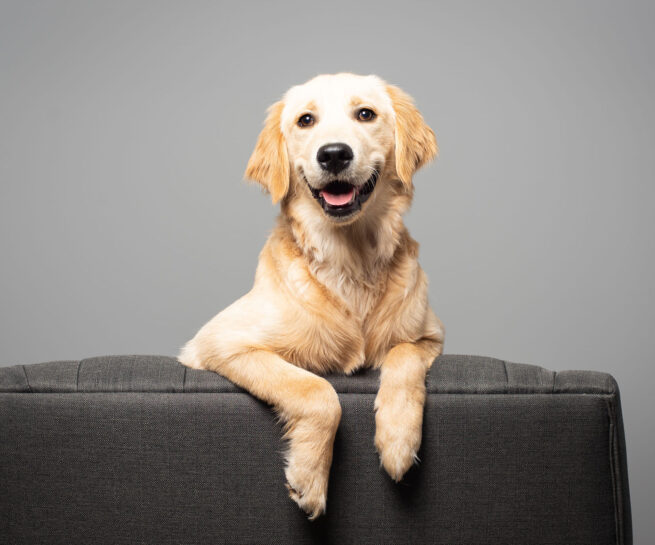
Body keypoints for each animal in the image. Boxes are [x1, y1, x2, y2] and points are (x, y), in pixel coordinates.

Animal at [179, 72, 446, 520]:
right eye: (306, 120)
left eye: (365, 114)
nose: (334, 155)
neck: (350, 261)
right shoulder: (217, 342)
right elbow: (317, 390)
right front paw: (308, 476)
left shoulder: (431, 336)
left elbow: (403, 356)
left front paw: (397, 442)